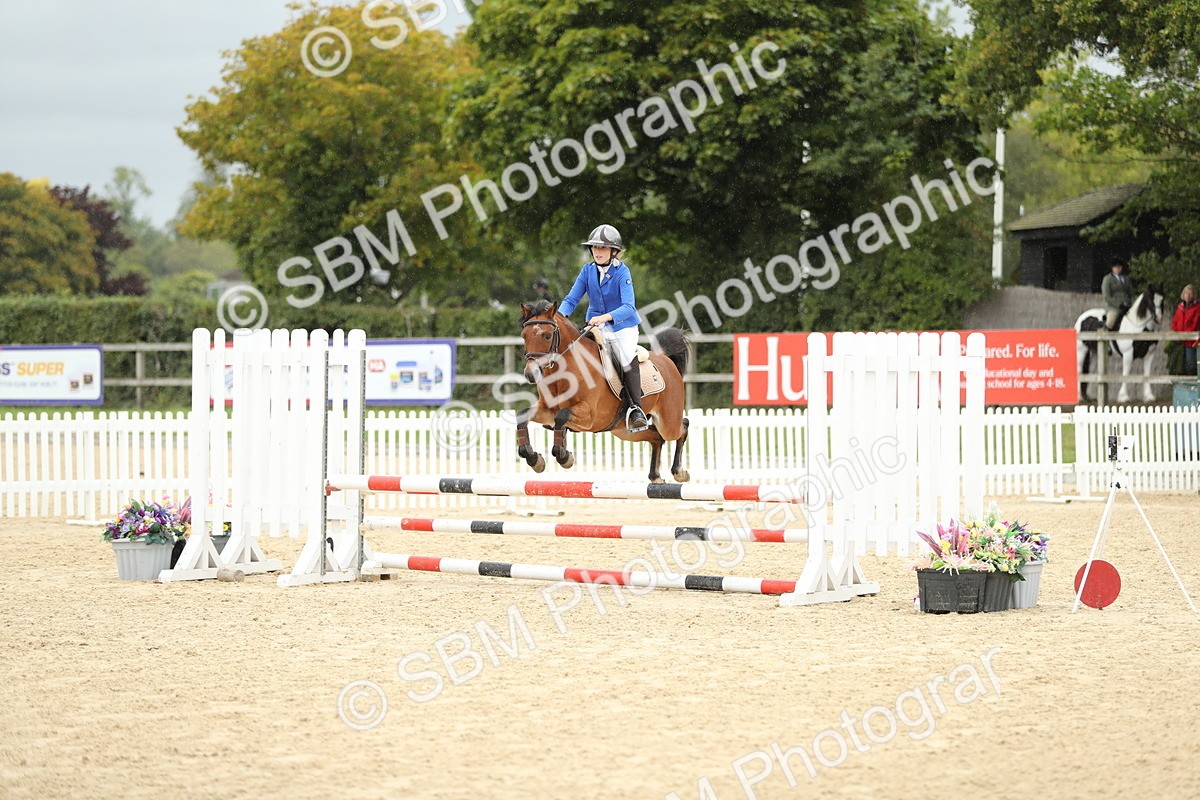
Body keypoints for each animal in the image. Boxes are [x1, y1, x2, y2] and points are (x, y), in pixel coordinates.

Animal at [517, 300, 691, 483]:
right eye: (524, 336)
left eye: (547, 336)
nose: (531, 374)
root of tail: (665, 358)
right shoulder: (547, 410)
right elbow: (522, 416)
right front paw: (534, 459)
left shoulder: (588, 415)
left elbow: (561, 416)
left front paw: (565, 457)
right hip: (623, 430)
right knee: (656, 437)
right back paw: (656, 477)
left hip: (668, 421)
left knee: (682, 426)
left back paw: (679, 472)